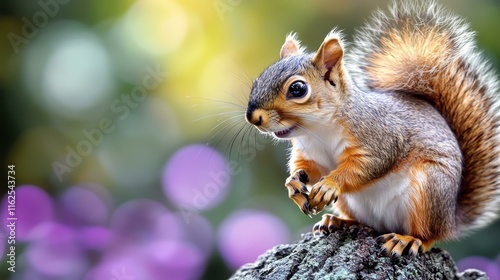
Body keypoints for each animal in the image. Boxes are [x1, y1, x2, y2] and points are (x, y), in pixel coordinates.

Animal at [245, 1, 500, 258]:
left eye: (297, 89)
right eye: (258, 80)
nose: (253, 117)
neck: (318, 131)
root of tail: (451, 219)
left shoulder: (381, 138)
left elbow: (365, 167)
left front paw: (329, 184)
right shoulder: (310, 153)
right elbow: (310, 169)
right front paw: (294, 183)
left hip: (430, 190)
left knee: (430, 235)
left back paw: (408, 240)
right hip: (352, 204)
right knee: (366, 224)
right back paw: (337, 221)